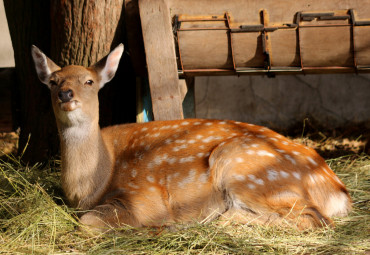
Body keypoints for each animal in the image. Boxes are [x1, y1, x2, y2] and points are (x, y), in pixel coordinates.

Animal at [30, 43, 352, 231]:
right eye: (53, 81)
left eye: (89, 81)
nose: (65, 94)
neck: (91, 185)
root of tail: (339, 191)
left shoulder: (143, 198)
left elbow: (88, 222)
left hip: (249, 170)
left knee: (314, 219)